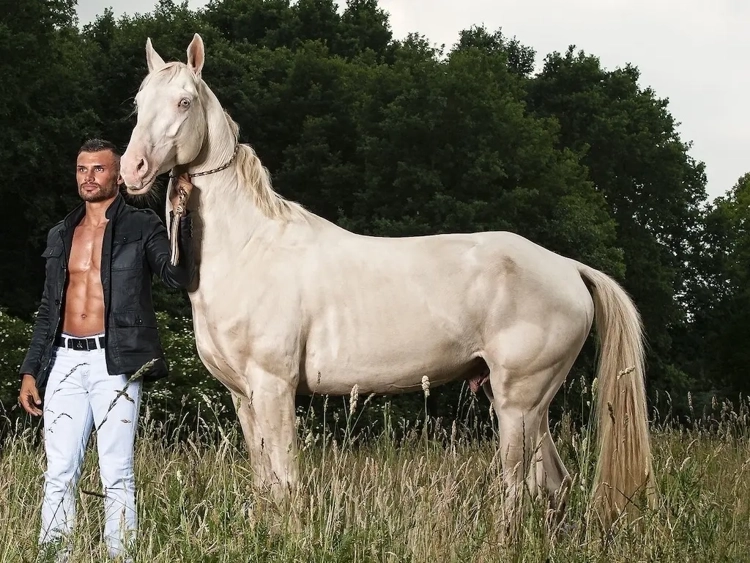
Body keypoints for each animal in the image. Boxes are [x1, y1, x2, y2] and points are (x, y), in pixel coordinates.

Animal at [120, 33, 655, 531]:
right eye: (139, 102)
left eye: (184, 101)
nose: (132, 169)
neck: (251, 244)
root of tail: (567, 267)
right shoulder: (242, 395)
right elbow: (265, 481)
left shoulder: (273, 387)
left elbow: (286, 480)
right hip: (529, 404)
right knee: (555, 484)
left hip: (518, 402)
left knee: (518, 487)